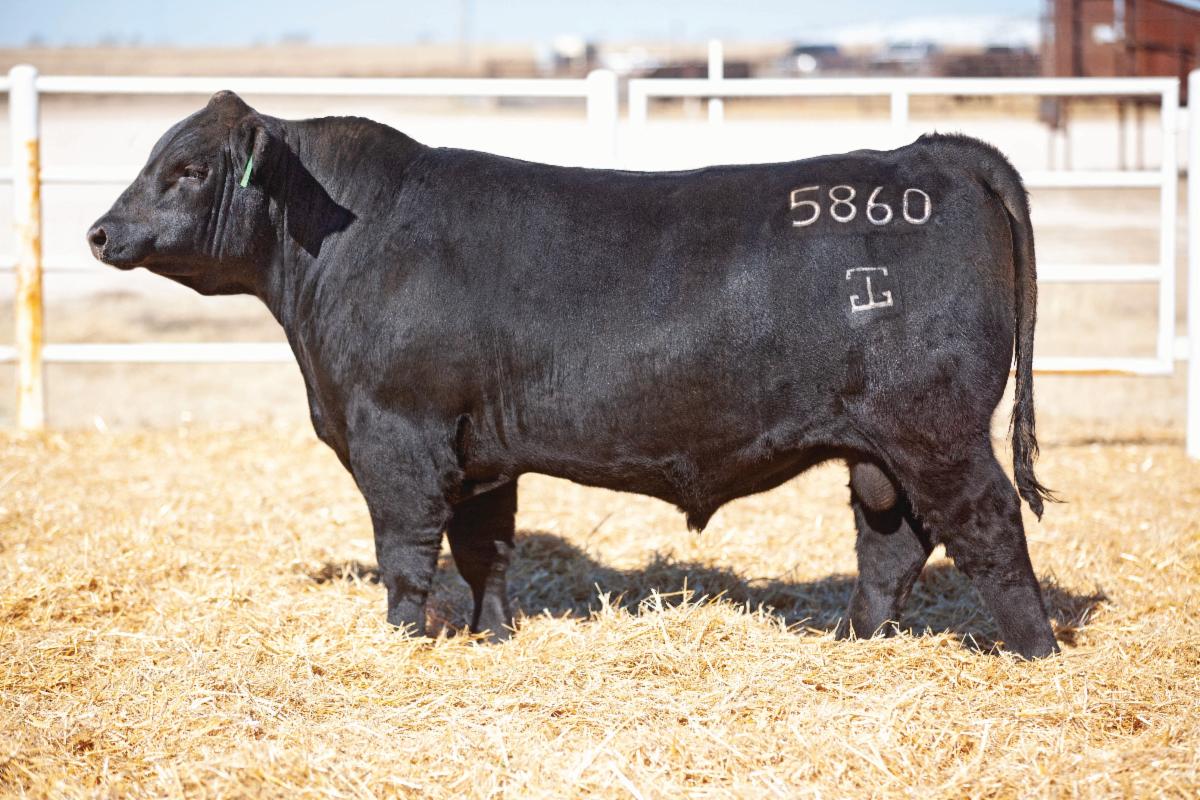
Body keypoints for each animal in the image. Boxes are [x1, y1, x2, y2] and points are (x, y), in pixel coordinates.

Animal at [87, 91, 1060, 659]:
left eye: (188, 168)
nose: (100, 232)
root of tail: (930, 153)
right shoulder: (479, 452)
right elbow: (484, 549)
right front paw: (488, 638)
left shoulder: (397, 435)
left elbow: (405, 552)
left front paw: (403, 646)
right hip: (882, 445)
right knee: (892, 541)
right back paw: (855, 648)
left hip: (935, 426)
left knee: (987, 523)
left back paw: (1033, 651)